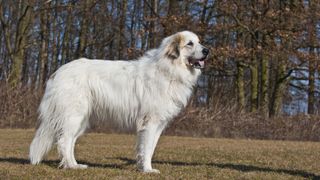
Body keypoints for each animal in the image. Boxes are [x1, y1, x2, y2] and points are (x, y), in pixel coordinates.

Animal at [29, 31, 210, 173]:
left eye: (199, 41)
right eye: (190, 43)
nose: (207, 50)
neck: (169, 69)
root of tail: (58, 72)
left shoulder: (159, 124)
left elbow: (150, 148)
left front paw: (144, 167)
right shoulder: (150, 122)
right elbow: (147, 148)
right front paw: (147, 170)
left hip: (81, 120)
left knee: (70, 141)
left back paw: (76, 164)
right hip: (73, 116)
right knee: (64, 141)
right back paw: (70, 166)